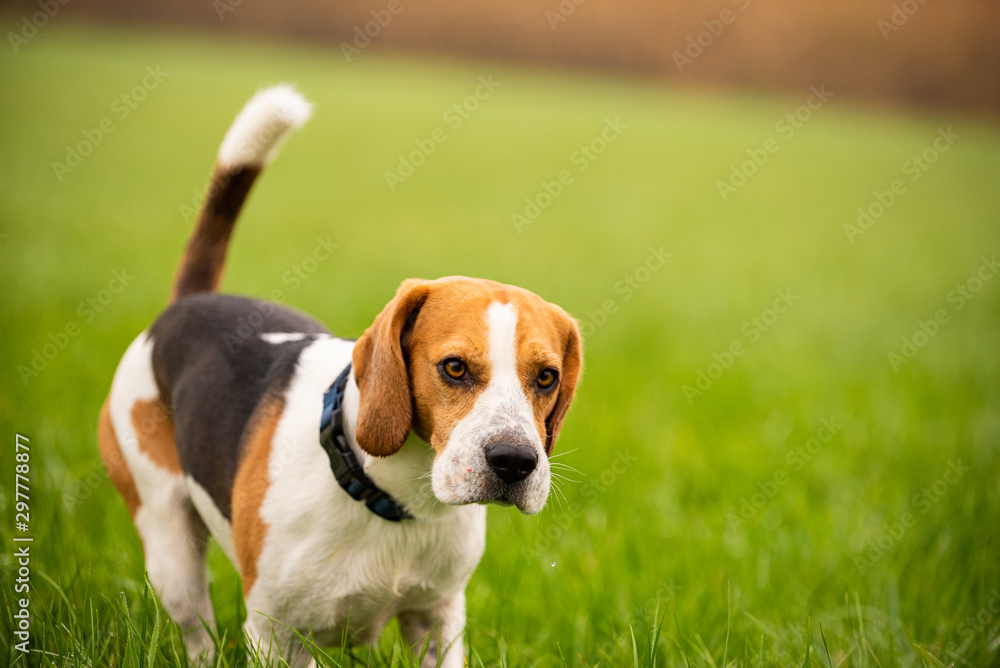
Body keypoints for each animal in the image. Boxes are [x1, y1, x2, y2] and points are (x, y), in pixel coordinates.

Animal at [97, 86, 584, 664]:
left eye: (547, 377)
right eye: (455, 367)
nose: (515, 462)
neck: (397, 501)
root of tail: (189, 305)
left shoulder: (437, 619)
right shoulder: (274, 634)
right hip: (170, 551)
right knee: (197, 633)